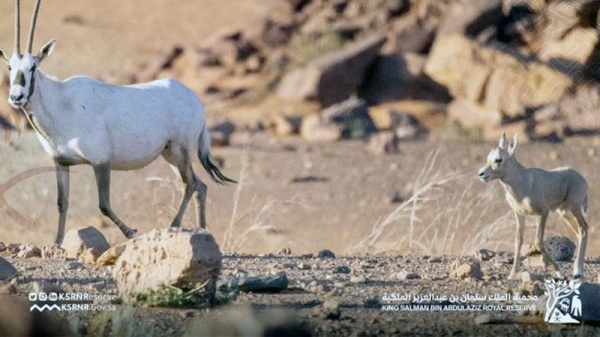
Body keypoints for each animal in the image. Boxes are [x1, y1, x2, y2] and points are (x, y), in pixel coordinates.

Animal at [0, 0, 234, 243]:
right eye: (10, 67)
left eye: (33, 67)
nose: (16, 97)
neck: (62, 102)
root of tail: (196, 101)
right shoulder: (61, 163)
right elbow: (62, 203)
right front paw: (57, 243)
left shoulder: (101, 161)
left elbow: (103, 205)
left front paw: (131, 232)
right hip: (171, 154)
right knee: (200, 185)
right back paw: (203, 230)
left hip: (181, 150)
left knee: (191, 184)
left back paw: (175, 226)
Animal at [480, 133, 588, 276]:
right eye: (488, 158)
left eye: (498, 159)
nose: (481, 174)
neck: (522, 182)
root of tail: (581, 177)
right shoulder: (519, 214)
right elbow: (518, 240)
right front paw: (512, 274)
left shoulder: (542, 213)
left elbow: (538, 242)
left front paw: (559, 271)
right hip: (564, 212)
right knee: (579, 232)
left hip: (575, 209)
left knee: (584, 229)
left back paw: (577, 271)